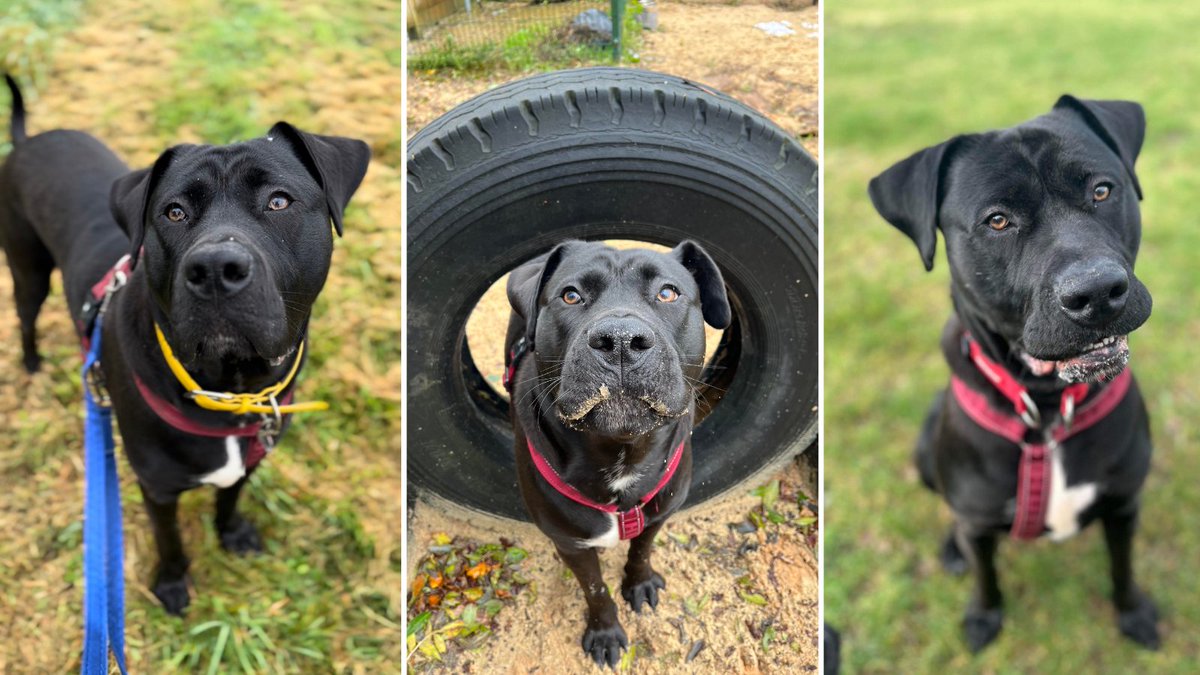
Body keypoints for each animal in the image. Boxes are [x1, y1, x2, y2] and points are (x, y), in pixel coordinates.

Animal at [0, 76, 367, 612]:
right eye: (174, 212)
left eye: (279, 201)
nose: (215, 268)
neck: (232, 389)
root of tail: (28, 141)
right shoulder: (157, 487)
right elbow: (169, 538)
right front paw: (172, 583)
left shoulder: (249, 459)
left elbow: (230, 496)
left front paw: (230, 533)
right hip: (27, 269)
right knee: (26, 315)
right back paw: (31, 363)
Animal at [501, 239, 724, 662]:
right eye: (571, 295)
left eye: (668, 292)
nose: (620, 339)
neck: (623, 454)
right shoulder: (571, 544)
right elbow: (595, 588)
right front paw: (605, 631)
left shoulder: (659, 513)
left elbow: (641, 551)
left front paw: (639, 583)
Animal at [873, 97, 1161, 648]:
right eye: (998, 221)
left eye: (1102, 190)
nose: (1096, 293)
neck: (1045, 409)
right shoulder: (979, 519)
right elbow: (986, 574)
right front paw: (984, 617)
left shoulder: (1124, 506)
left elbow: (1124, 566)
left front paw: (1134, 612)